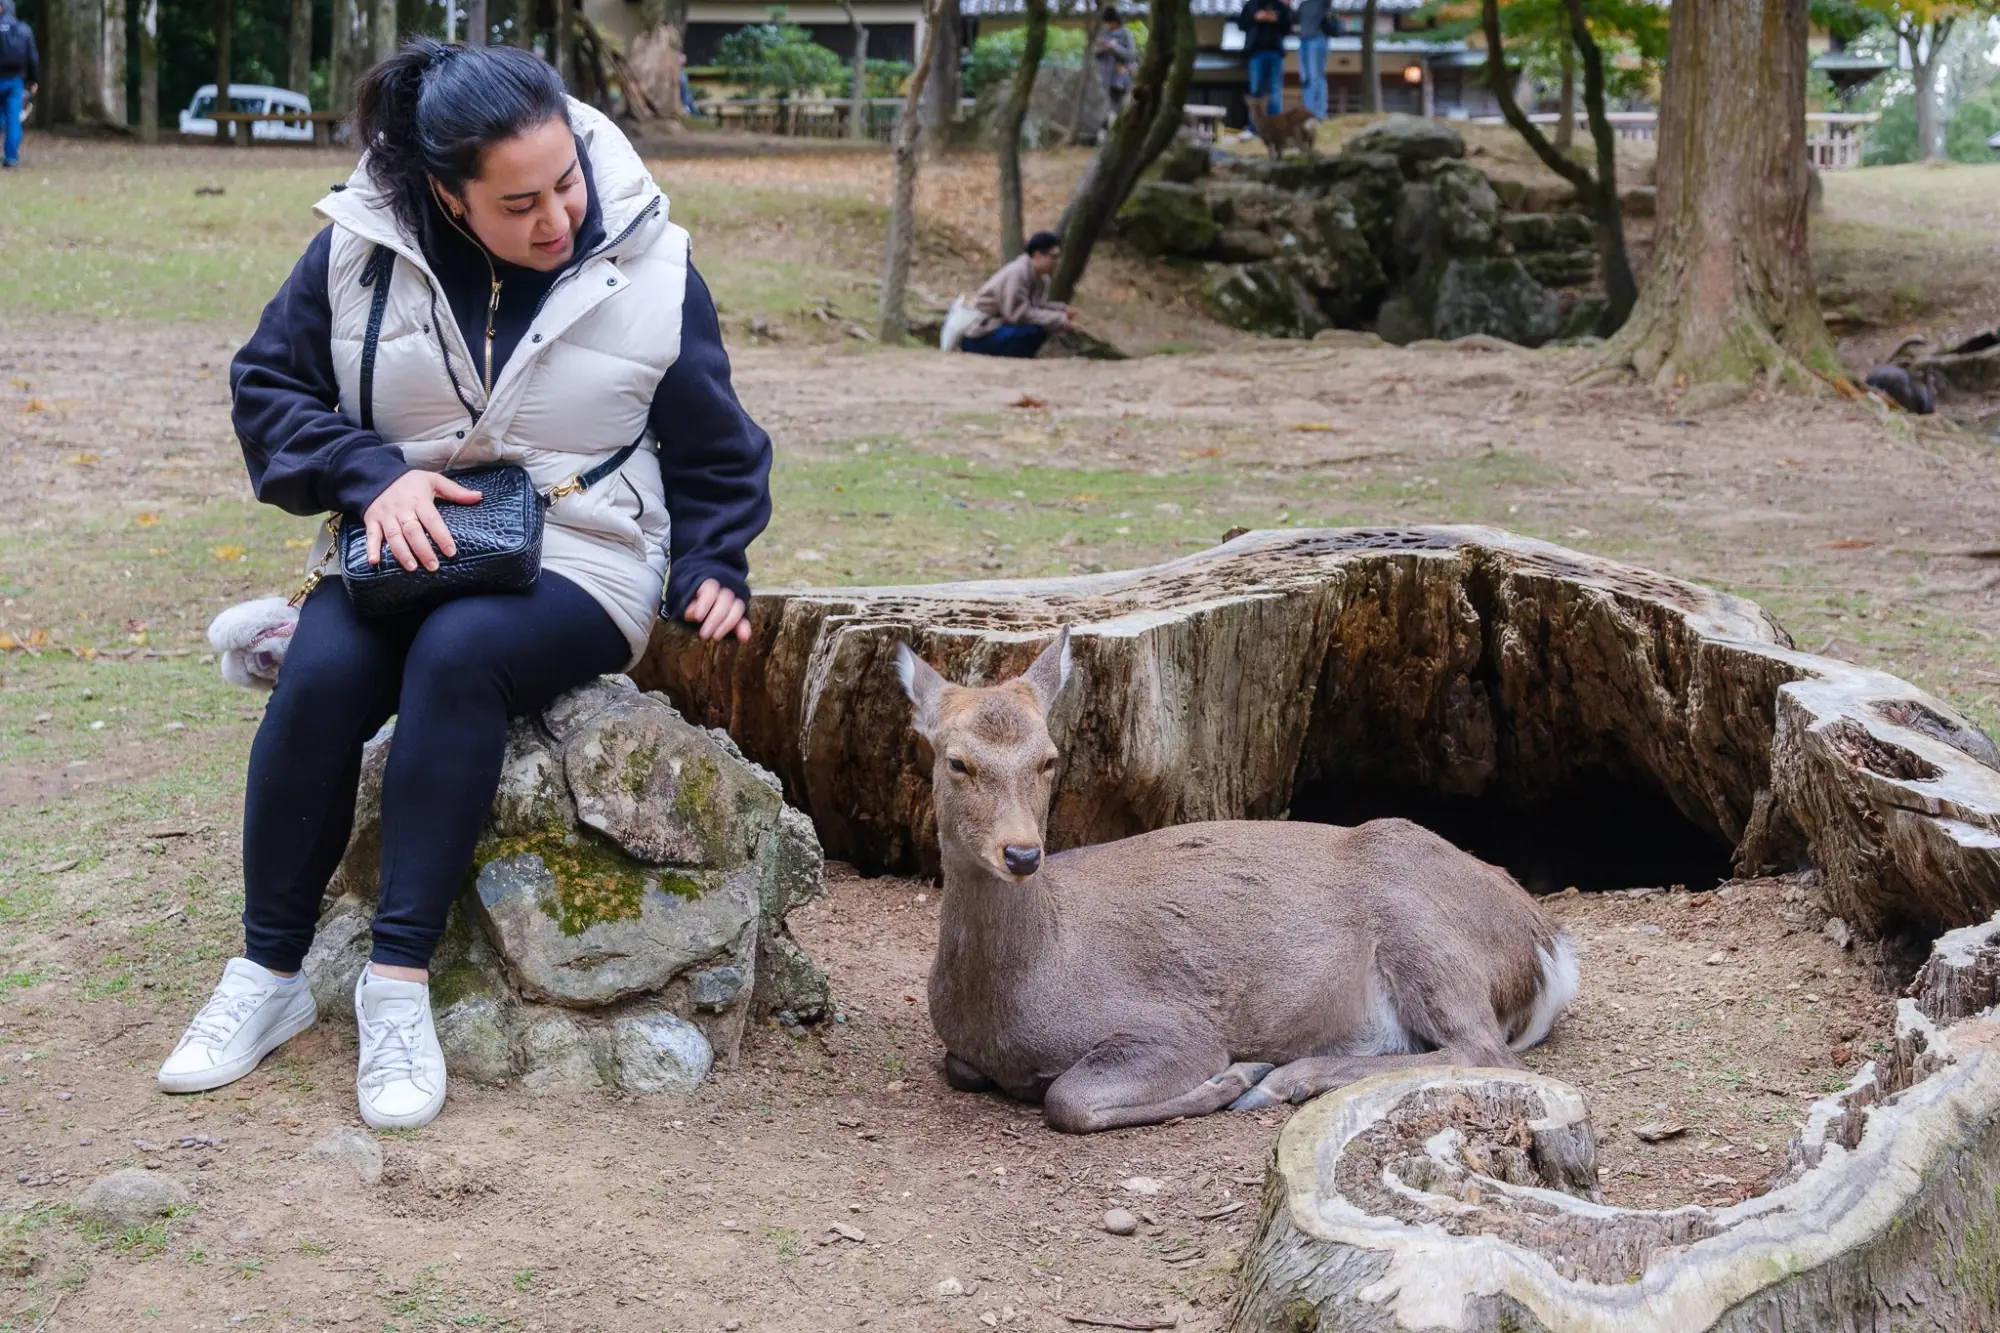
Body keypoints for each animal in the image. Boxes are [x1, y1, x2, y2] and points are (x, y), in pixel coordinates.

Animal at [895, 629, 1579, 1135]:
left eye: (1049, 758)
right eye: (956, 761)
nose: (1022, 853)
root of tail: (1550, 946)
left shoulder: (1174, 1027)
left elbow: (1069, 1100)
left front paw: (1233, 1077)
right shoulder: (965, 1050)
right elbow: (961, 1068)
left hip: (1423, 925)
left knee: (1482, 1048)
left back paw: (1279, 1080)